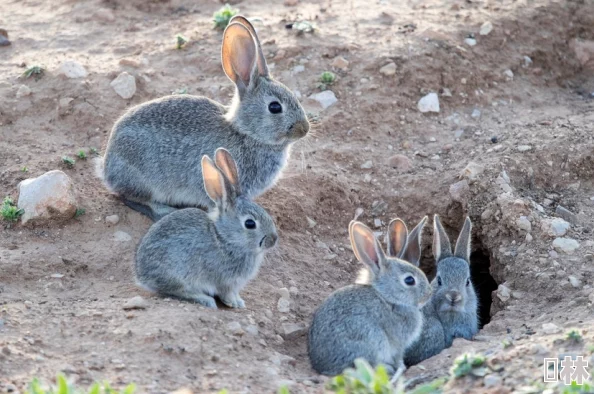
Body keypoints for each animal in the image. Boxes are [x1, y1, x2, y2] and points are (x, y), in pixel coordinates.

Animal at [96, 14, 310, 222]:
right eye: (275, 107)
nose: (304, 129)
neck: (246, 133)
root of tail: (107, 168)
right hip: (144, 178)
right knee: (131, 198)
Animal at [134, 146, 278, 310]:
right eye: (250, 224)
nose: (273, 239)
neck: (224, 238)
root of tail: (141, 274)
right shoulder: (225, 281)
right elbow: (226, 293)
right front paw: (234, 303)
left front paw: (240, 301)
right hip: (178, 274)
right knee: (175, 290)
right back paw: (205, 299)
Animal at [308, 220, 428, 380]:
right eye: (409, 280)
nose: (429, 294)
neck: (388, 297)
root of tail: (323, 367)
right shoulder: (399, 344)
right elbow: (398, 356)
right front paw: (401, 367)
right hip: (371, 339)